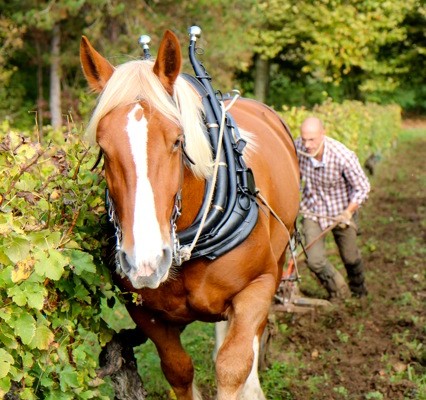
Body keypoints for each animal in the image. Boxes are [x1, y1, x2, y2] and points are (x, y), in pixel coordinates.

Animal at [80, 29, 300, 398]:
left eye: (176, 141)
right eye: (104, 148)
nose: (145, 262)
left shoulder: (258, 285)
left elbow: (233, 365)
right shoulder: (147, 313)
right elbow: (179, 370)